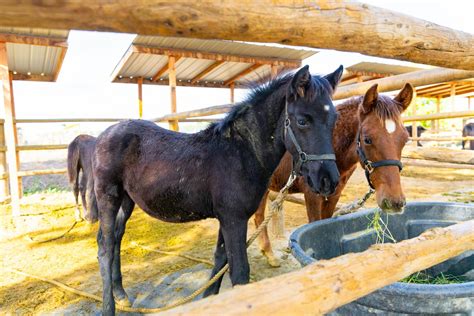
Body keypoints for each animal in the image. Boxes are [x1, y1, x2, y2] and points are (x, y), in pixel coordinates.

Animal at [92, 65, 344, 314]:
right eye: (302, 121)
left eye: (334, 119)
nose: (328, 181)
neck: (241, 152)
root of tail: (104, 134)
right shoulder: (234, 219)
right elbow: (239, 272)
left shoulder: (227, 218)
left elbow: (220, 259)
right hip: (108, 197)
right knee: (105, 247)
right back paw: (109, 306)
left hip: (126, 200)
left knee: (116, 238)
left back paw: (121, 294)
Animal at [256, 82, 414, 266]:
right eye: (367, 139)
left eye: (405, 140)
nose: (395, 202)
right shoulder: (312, 195)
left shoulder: (334, 195)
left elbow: (324, 227)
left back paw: (269, 254)